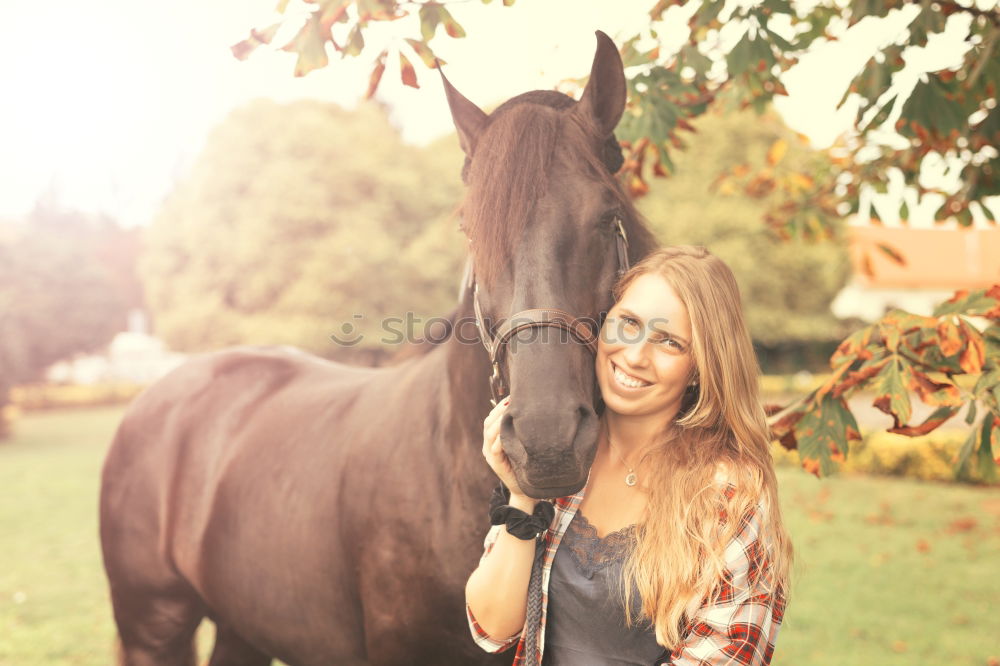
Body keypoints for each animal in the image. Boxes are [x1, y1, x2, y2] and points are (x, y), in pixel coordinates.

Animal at [101, 32, 656, 664]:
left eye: (607, 216)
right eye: (471, 231)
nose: (547, 441)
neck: (448, 481)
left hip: (243, 627)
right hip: (154, 628)